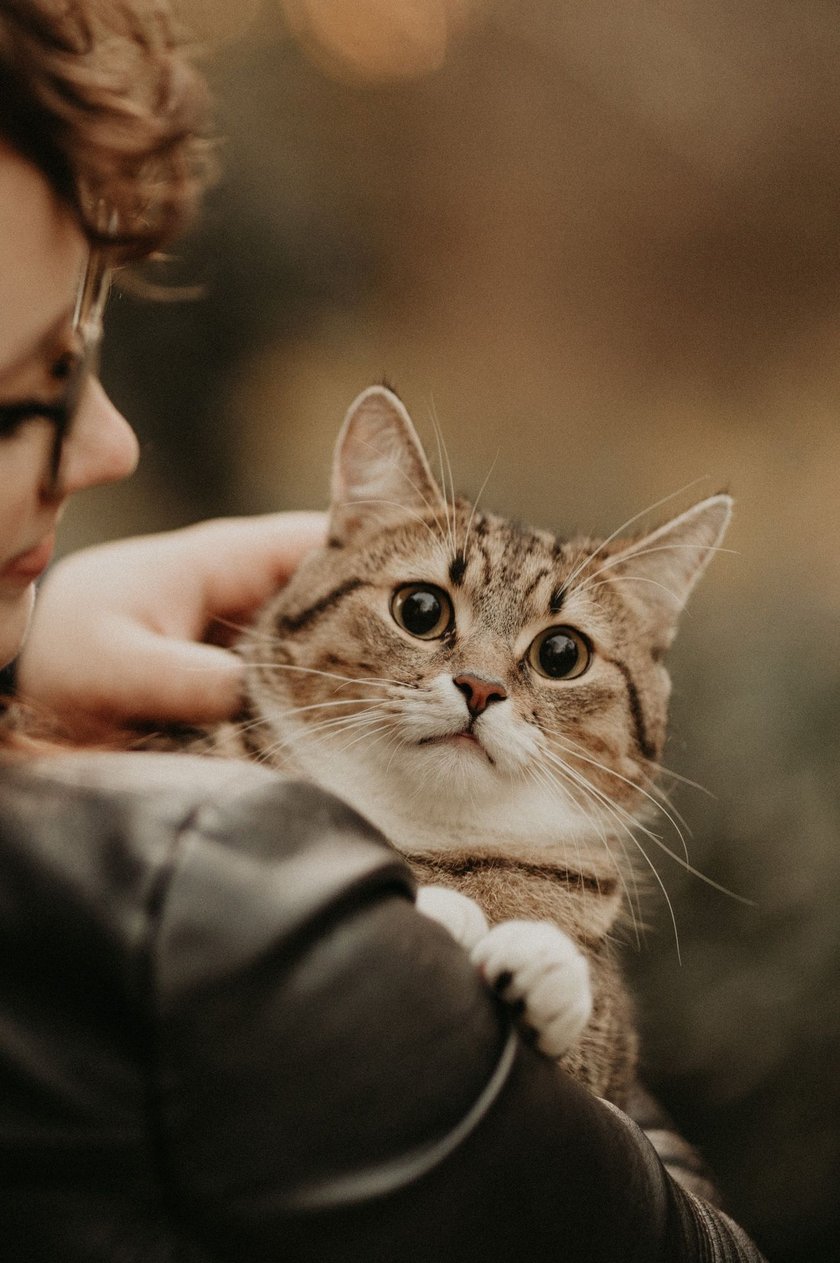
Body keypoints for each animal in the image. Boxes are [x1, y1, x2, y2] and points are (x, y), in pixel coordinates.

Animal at [193, 383, 732, 1126]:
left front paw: (544, 965)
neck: (423, 832)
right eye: (420, 609)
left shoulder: (612, 1072)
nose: (480, 686)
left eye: (561, 653)